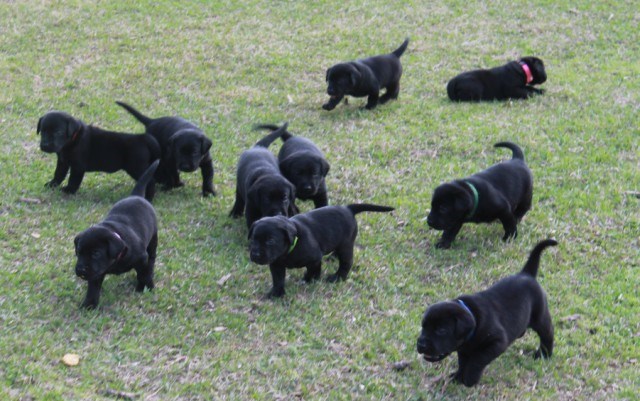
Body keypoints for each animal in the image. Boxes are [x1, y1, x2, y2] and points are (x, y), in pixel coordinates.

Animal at [250, 203, 396, 296]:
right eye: (253, 239)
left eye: (270, 241)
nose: (255, 254)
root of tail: (348, 208)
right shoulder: (276, 264)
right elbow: (278, 279)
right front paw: (276, 293)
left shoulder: (314, 258)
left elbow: (313, 270)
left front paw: (310, 280)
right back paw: (332, 257)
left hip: (346, 245)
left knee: (346, 263)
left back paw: (337, 278)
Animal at [416, 238, 556, 384]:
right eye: (423, 327)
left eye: (441, 330)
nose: (420, 344)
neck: (472, 316)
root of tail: (526, 274)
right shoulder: (464, 349)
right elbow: (463, 362)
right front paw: (458, 377)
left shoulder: (497, 342)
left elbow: (477, 360)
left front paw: (469, 379)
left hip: (540, 317)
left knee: (547, 333)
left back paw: (544, 355)